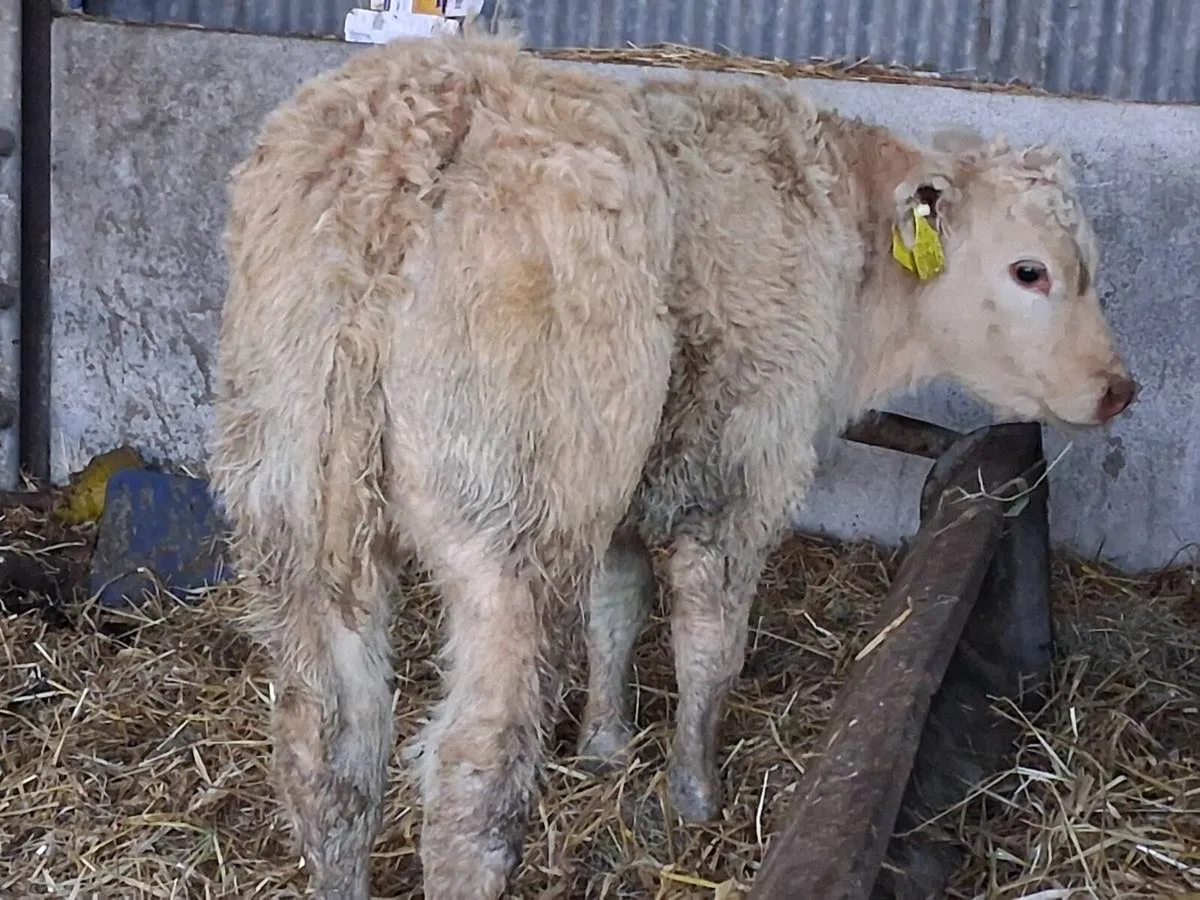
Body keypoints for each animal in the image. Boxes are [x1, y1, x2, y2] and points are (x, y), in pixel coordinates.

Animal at [209, 31, 1137, 900]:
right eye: (1030, 270)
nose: (1117, 389)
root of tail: (406, 140)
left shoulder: (627, 484)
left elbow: (616, 611)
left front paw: (605, 744)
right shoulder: (734, 467)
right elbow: (707, 646)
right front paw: (694, 794)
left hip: (294, 503)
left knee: (326, 754)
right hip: (510, 525)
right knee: (474, 777)